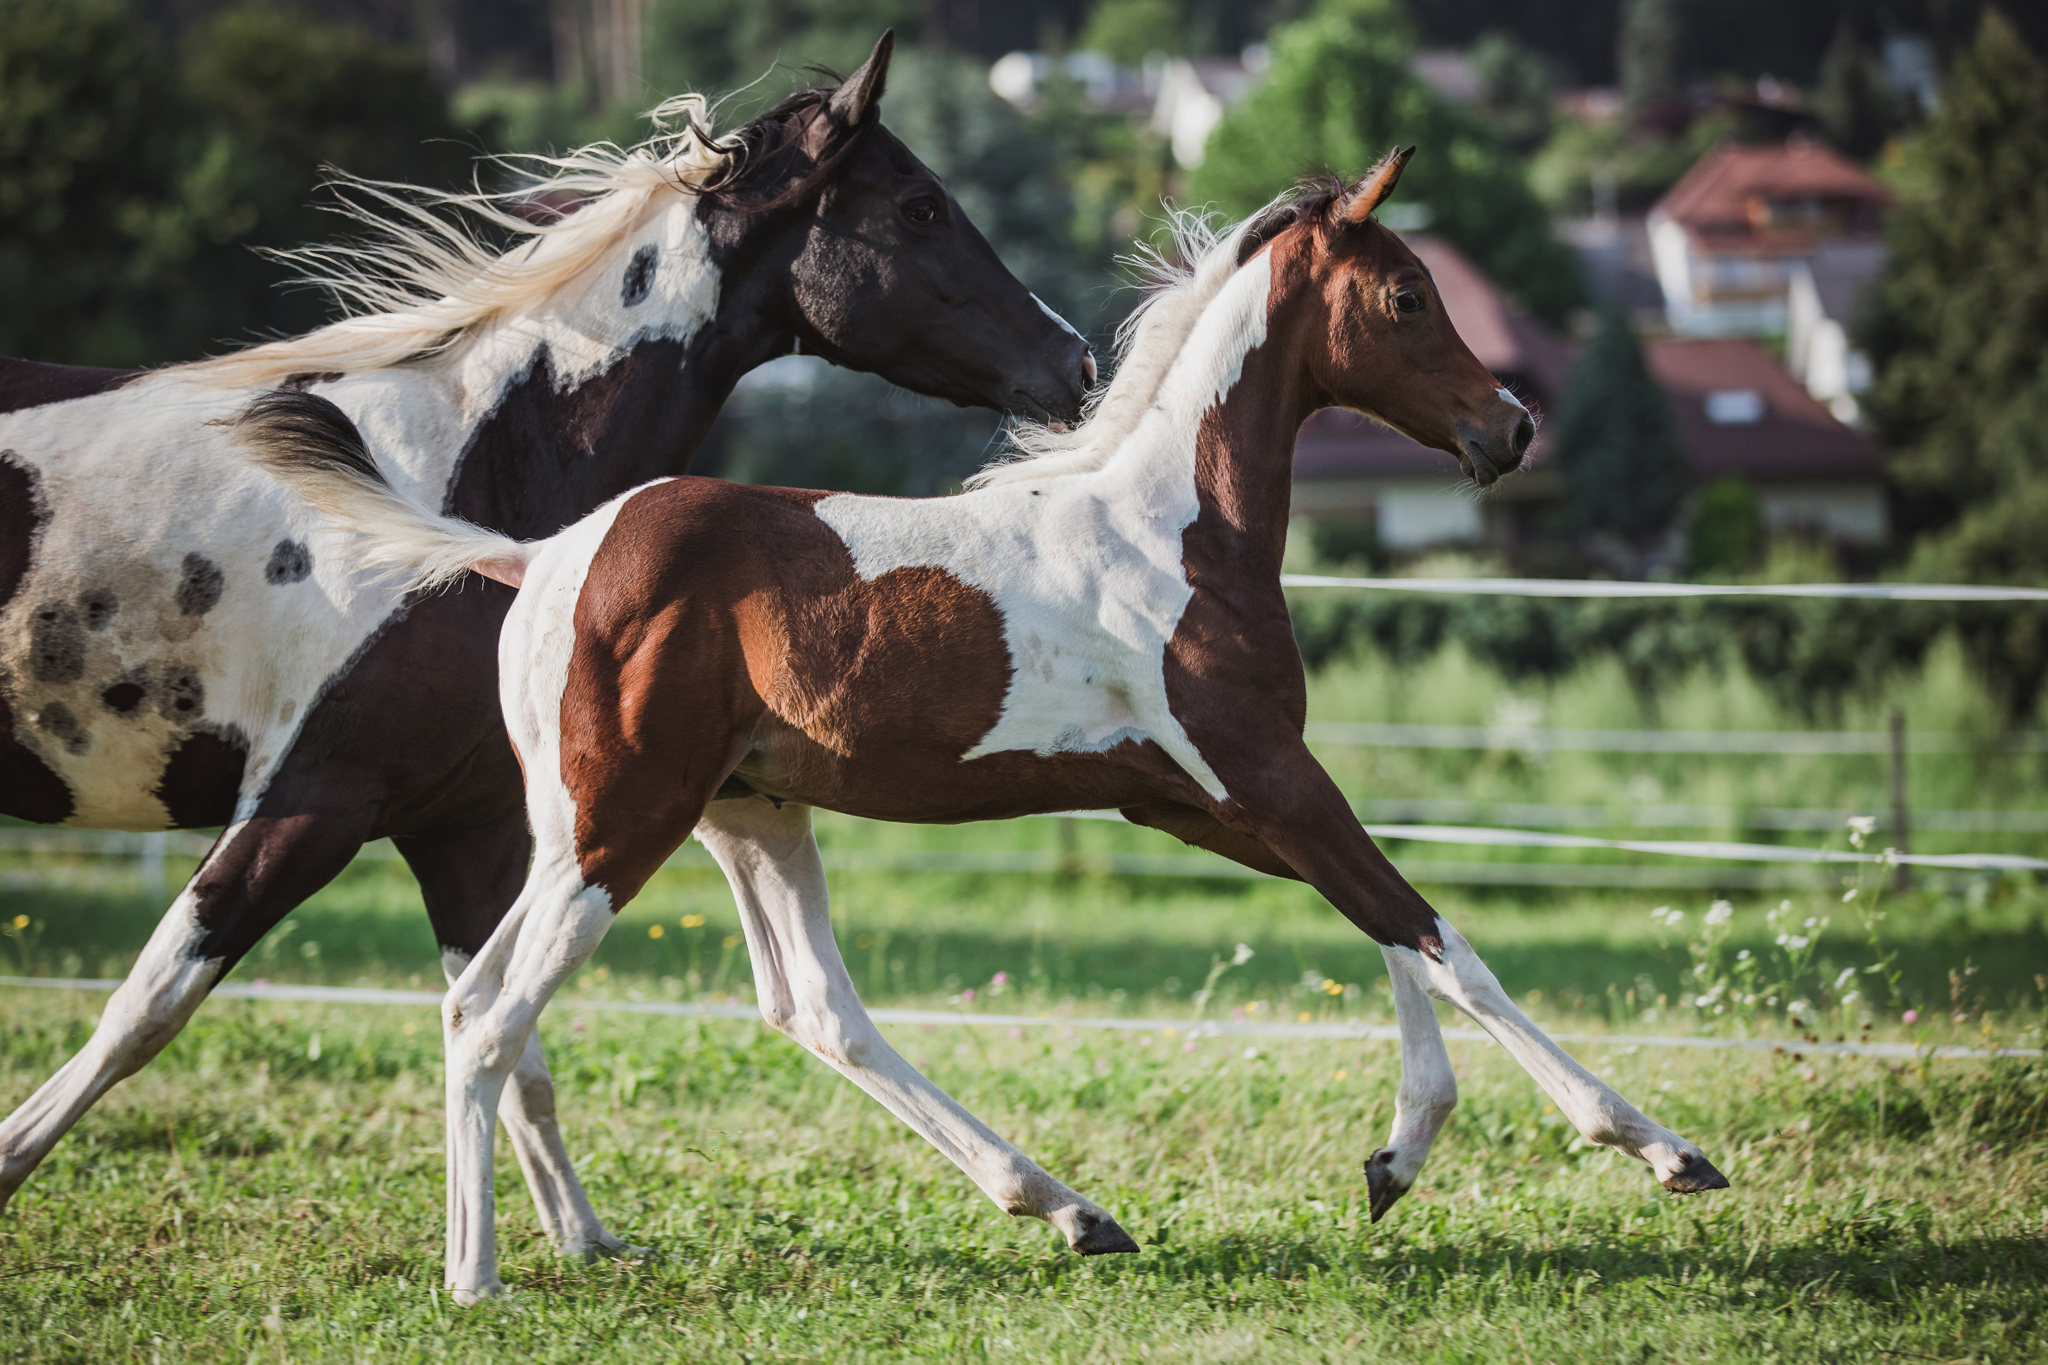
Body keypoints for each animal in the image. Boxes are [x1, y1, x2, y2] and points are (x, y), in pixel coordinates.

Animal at [0, 31, 1097, 1252]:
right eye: (918, 207)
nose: (1076, 366)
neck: (434, 487)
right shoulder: (307, 803)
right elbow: (146, 1006)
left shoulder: (461, 825)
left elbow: (504, 1032)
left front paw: (577, 1238)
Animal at [232, 149, 1720, 1301]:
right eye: (1407, 294)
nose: (1509, 428)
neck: (1177, 530)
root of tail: (546, 556)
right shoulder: (1262, 773)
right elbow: (1436, 934)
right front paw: (1655, 1147)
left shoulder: (1203, 796)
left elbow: (1387, 926)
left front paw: (1394, 1162)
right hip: (616, 825)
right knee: (495, 1014)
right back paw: (475, 1276)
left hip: (743, 814)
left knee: (777, 1006)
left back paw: (1064, 1208)